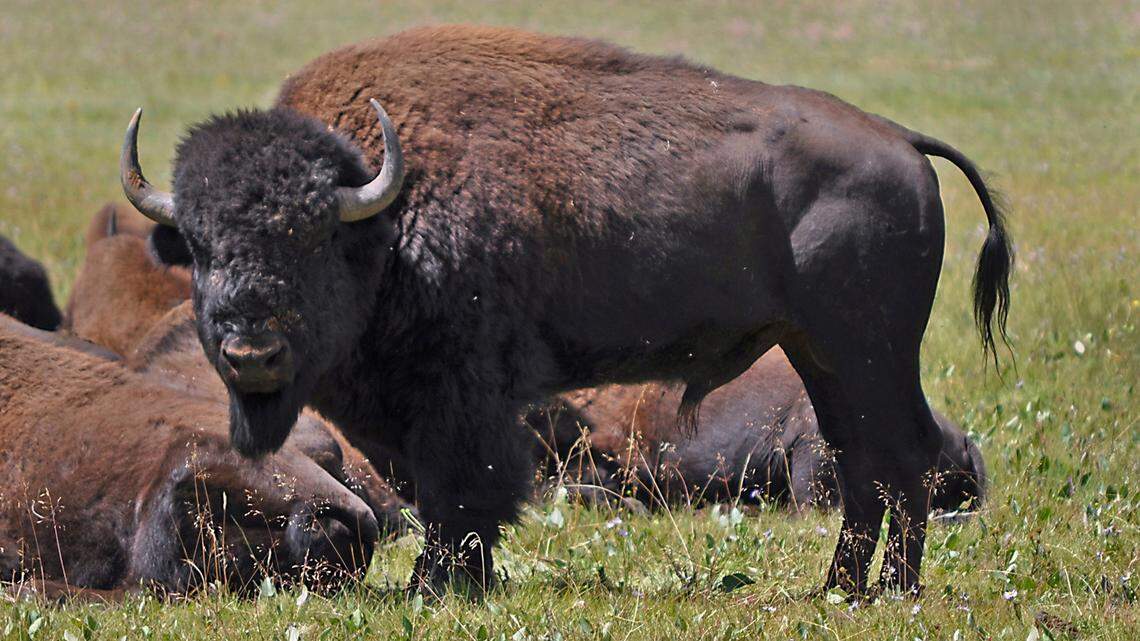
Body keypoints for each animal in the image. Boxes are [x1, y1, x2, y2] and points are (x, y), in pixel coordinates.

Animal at [121, 25, 1011, 595]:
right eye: (197, 244)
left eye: (308, 236)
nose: (251, 353)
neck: (380, 215)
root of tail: (900, 141)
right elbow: (441, 492)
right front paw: (463, 580)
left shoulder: (462, 396)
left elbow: (464, 490)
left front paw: (437, 586)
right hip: (822, 356)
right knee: (867, 465)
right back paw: (841, 588)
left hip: (867, 353)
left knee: (897, 459)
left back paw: (886, 591)